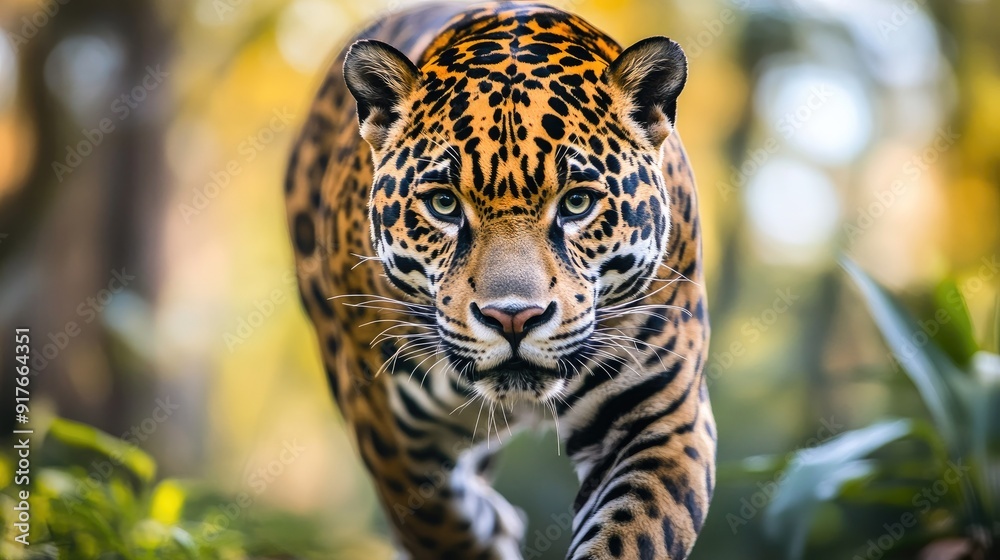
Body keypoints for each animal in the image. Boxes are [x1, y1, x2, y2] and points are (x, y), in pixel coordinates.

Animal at [284, 2, 715, 558]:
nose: (513, 318)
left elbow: (630, 536)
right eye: (444, 204)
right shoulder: (390, 435)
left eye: (577, 202)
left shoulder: (659, 421)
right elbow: (443, 528)